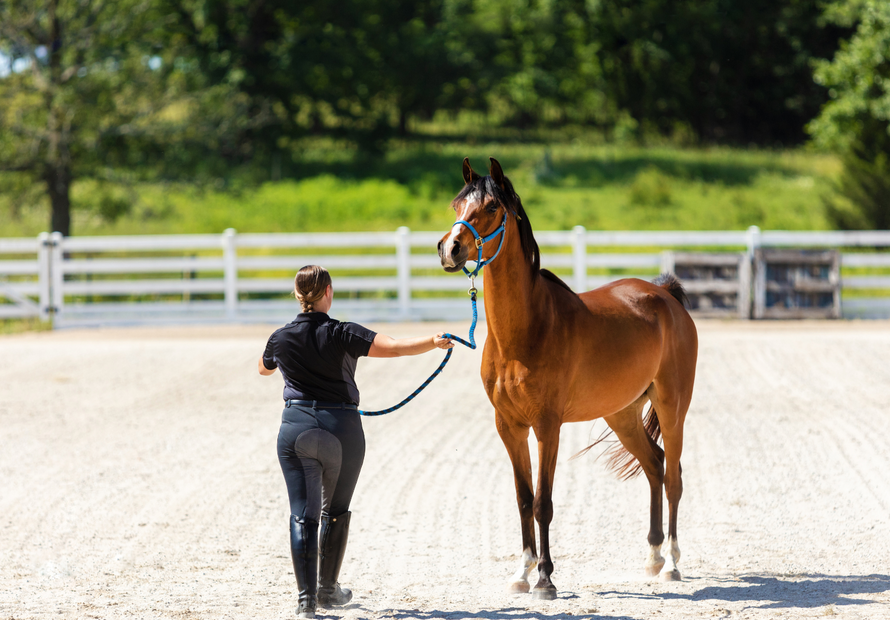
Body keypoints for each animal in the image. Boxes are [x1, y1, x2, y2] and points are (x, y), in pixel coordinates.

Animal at [437, 158, 698, 599]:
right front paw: (521, 573)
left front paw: (545, 579)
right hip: (622, 413)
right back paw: (652, 557)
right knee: (654, 464)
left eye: (491, 206)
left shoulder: (547, 426)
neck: (524, 332)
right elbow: (524, 499)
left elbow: (544, 502)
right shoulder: (509, 426)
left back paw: (671, 564)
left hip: (672, 407)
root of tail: (665, 296)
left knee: (673, 478)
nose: (450, 248)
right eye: (457, 204)